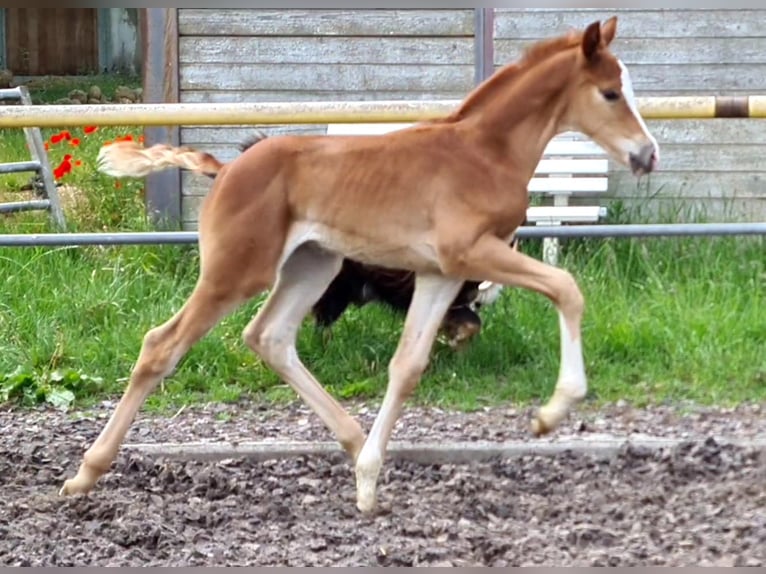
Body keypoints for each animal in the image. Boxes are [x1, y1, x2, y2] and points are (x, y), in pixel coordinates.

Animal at [61, 18, 660, 516]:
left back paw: (352, 441)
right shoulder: (469, 252)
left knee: (269, 337)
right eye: (610, 93)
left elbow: (407, 365)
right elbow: (566, 287)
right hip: (238, 271)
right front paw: (552, 413)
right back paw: (84, 474)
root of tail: (226, 168)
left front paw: (369, 481)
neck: (485, 152)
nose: (648, 154)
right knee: (161, 345)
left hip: (313, 266)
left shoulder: (441, 273)